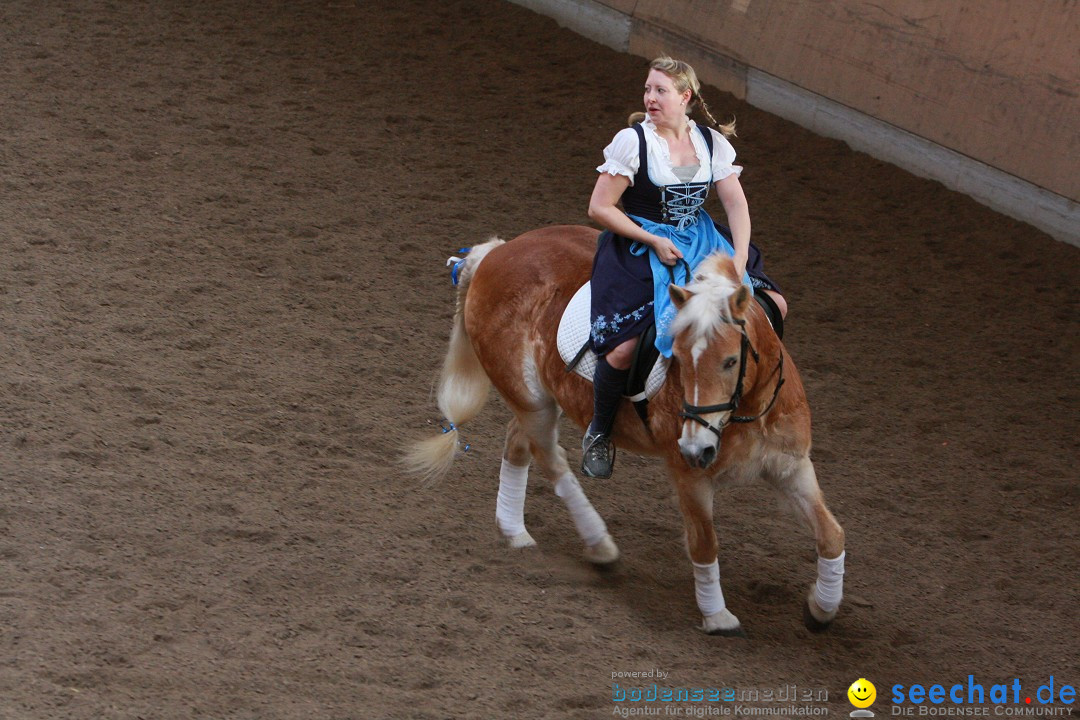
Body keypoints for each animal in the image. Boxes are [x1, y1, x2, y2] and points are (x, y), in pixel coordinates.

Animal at [403, 225, 842, 634]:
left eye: (731, 361)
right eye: (678, 357)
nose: (696, 448)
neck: (747, 412)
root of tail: (497, 252)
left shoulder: (791, 467)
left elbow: (832, 534)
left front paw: (822, 609)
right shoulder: (688, 477)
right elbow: (704, 544)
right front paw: (718, 617)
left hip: (540, 397)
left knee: (517, 443)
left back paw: (515, 532)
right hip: (531, 400)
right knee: (549, 457)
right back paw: (599, 545)